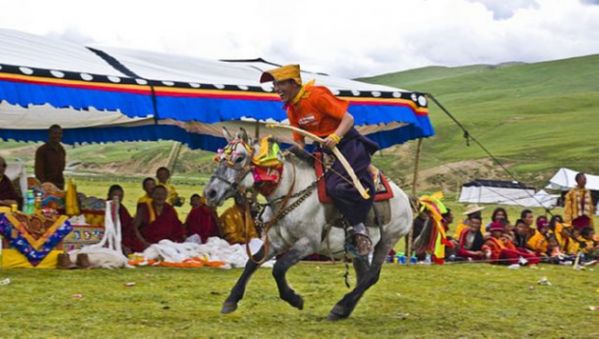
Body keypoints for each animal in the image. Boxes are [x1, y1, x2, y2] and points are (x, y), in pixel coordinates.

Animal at [202, 128, 412, 322]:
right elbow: (252, 263)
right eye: (220, 158)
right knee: (363, 275)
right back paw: (344, 310)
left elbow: (279, 268)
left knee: (371, 276)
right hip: (358, 251)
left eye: (239, 158)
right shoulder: (276, 241)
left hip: (387, 240)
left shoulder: (308, 243)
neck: (289, 190)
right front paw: (231, 300)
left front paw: (294, 299)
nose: (210, 193)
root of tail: (405, 197)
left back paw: (340, 307)